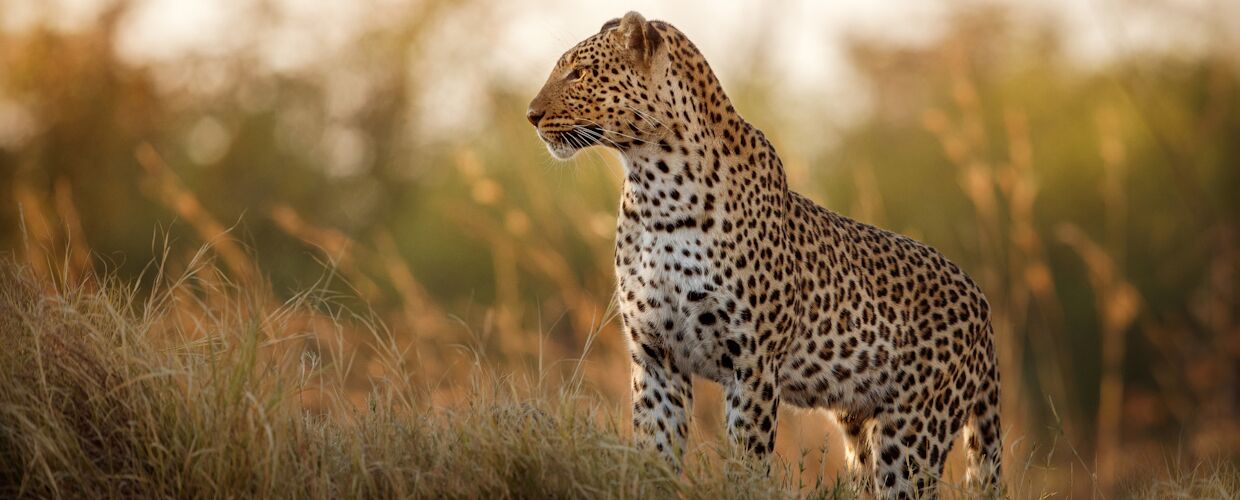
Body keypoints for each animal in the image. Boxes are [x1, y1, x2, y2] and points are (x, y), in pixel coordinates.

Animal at [527, 12, 1002, 498]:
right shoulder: (656, 357)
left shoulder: (751, 363)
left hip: (912, 435)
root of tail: (983, 308)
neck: (656, 190)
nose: (531, 115)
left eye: (578, 73)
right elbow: (654, 454)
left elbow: (747, 461)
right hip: (860, 427)